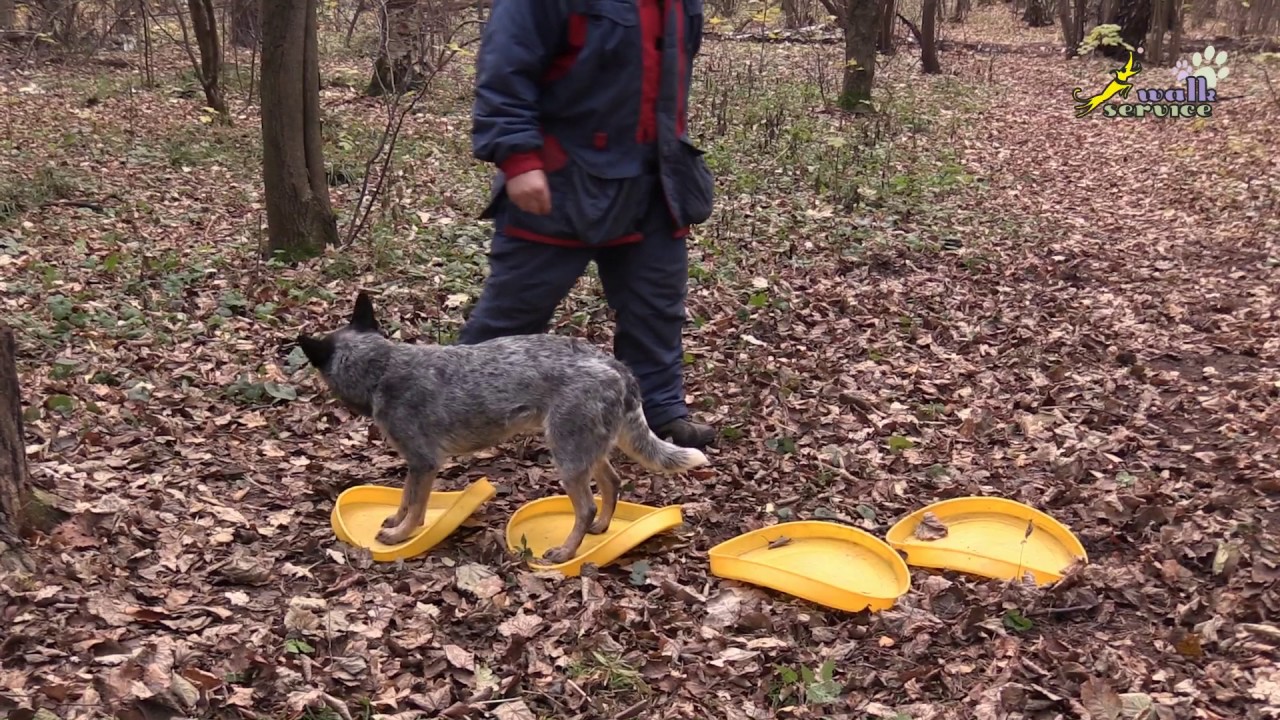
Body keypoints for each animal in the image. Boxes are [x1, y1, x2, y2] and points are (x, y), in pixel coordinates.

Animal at [294, 288, 711, 563]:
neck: (381, 370)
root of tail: (617, 367)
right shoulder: (415, 465)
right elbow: (404, 497)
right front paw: (396, 520)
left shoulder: (423, 462)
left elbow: (415, 505)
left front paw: (400, 534)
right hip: (585, 449)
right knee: (612, 483)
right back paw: (601, 528)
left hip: (567, 457)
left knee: (586, 507)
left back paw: (565, 551)